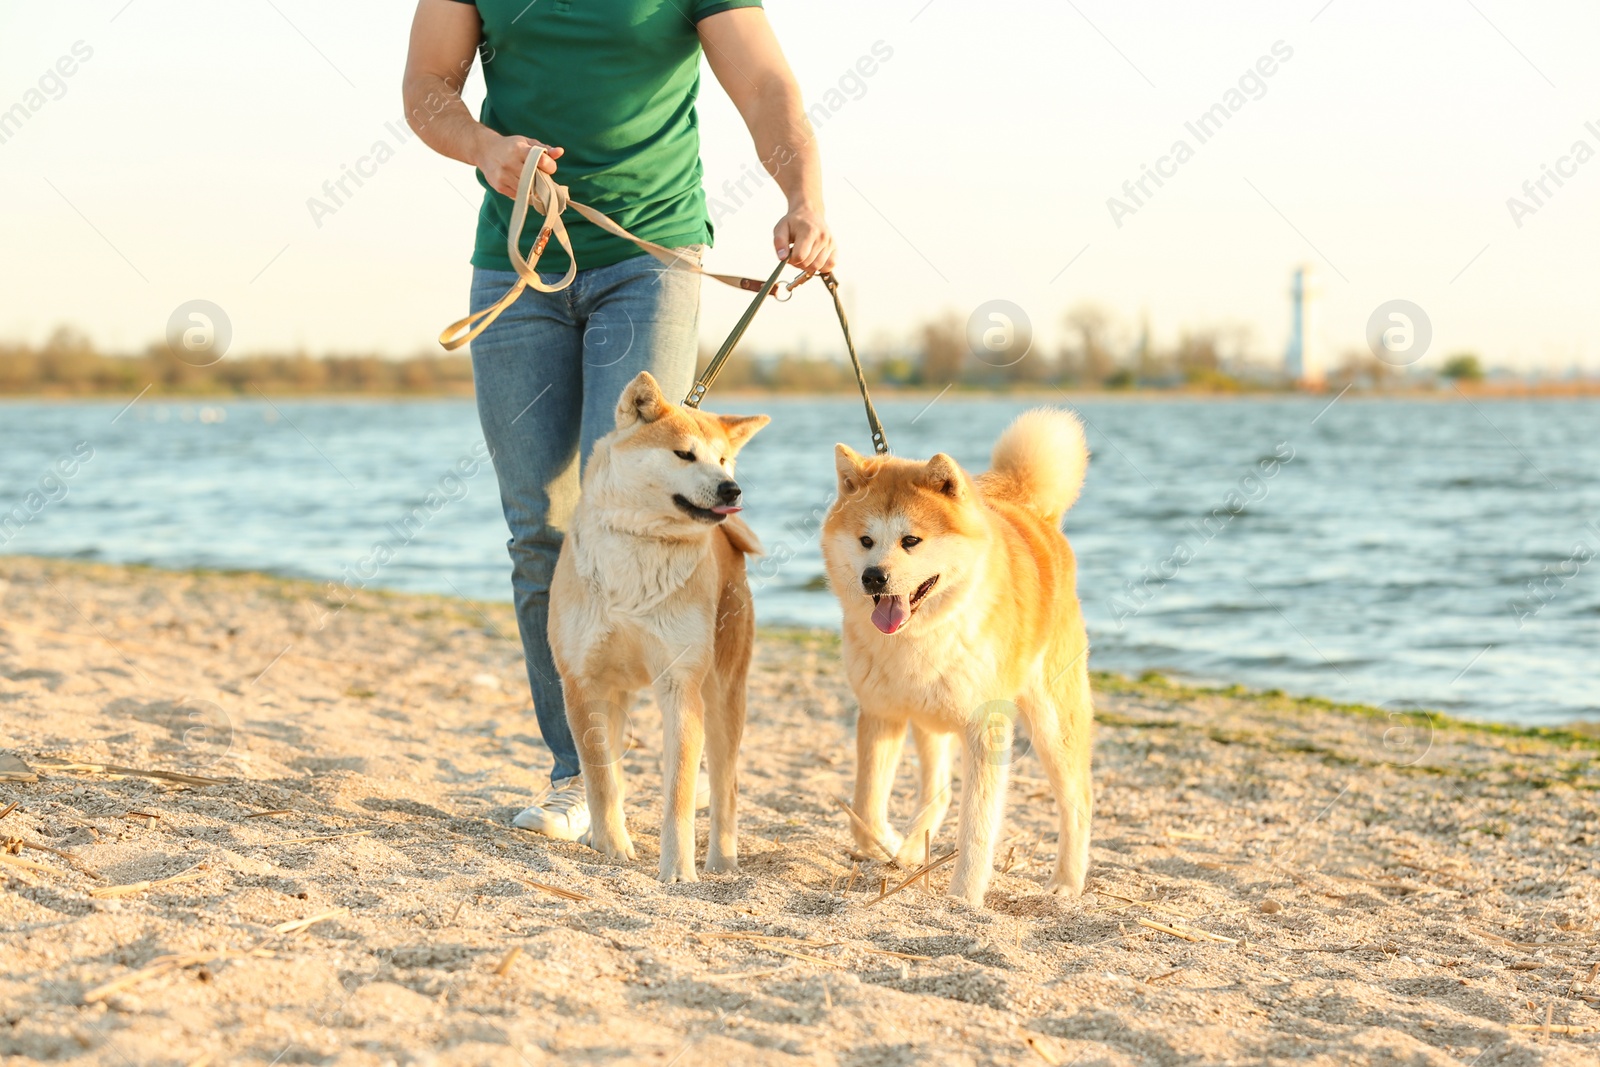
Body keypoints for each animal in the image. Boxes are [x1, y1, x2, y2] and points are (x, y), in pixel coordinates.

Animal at [550, 375, 768, 883]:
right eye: (684, 454)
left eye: (723, 459)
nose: (732, 489)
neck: (640, 542)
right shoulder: (582, 681)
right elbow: (602, 779)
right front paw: (612, 847)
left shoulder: (680, 684)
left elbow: (679, 793)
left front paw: (677, 869)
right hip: (618, 694)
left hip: (723, 694)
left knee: (726, 788)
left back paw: (721, 862)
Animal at [819, 412, 1094, 908]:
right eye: (866, 540)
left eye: (911, 540)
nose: (874, 577)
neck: (918, 636)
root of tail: (1032, 513)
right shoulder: (881, 712)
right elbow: (865, 808)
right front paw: (887, 843)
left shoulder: (985, 726)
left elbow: (977, 827)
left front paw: (964, 896)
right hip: (929, 721)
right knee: (938, 791)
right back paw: (912, 845)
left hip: (1051, 721)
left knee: (1077, 802)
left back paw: (1066, 882)